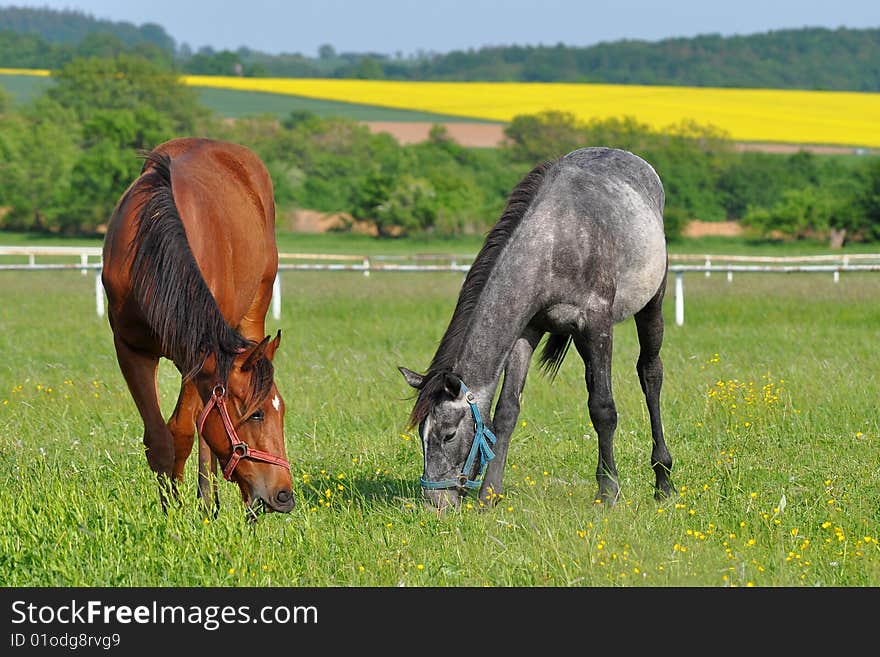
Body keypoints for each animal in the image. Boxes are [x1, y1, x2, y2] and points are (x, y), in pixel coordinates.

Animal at [99, 138, 292, 516]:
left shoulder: (198, 357)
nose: (284, 495)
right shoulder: (131, 350)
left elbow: (183, 432)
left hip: (254, 313)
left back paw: (211, 501)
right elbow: (161, 438)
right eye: (257, 414)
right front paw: (169, 510)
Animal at [398, 146, 672, 510]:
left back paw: (663, 480)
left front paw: (608, 492)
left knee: (650, 374)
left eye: (448, 434)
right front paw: (490, 493)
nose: (434, 503)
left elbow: (603, 409)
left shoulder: (597, 325)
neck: (552, 241)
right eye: (420, 435)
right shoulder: (525, 333)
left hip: (652, 305)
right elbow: (506, 411)